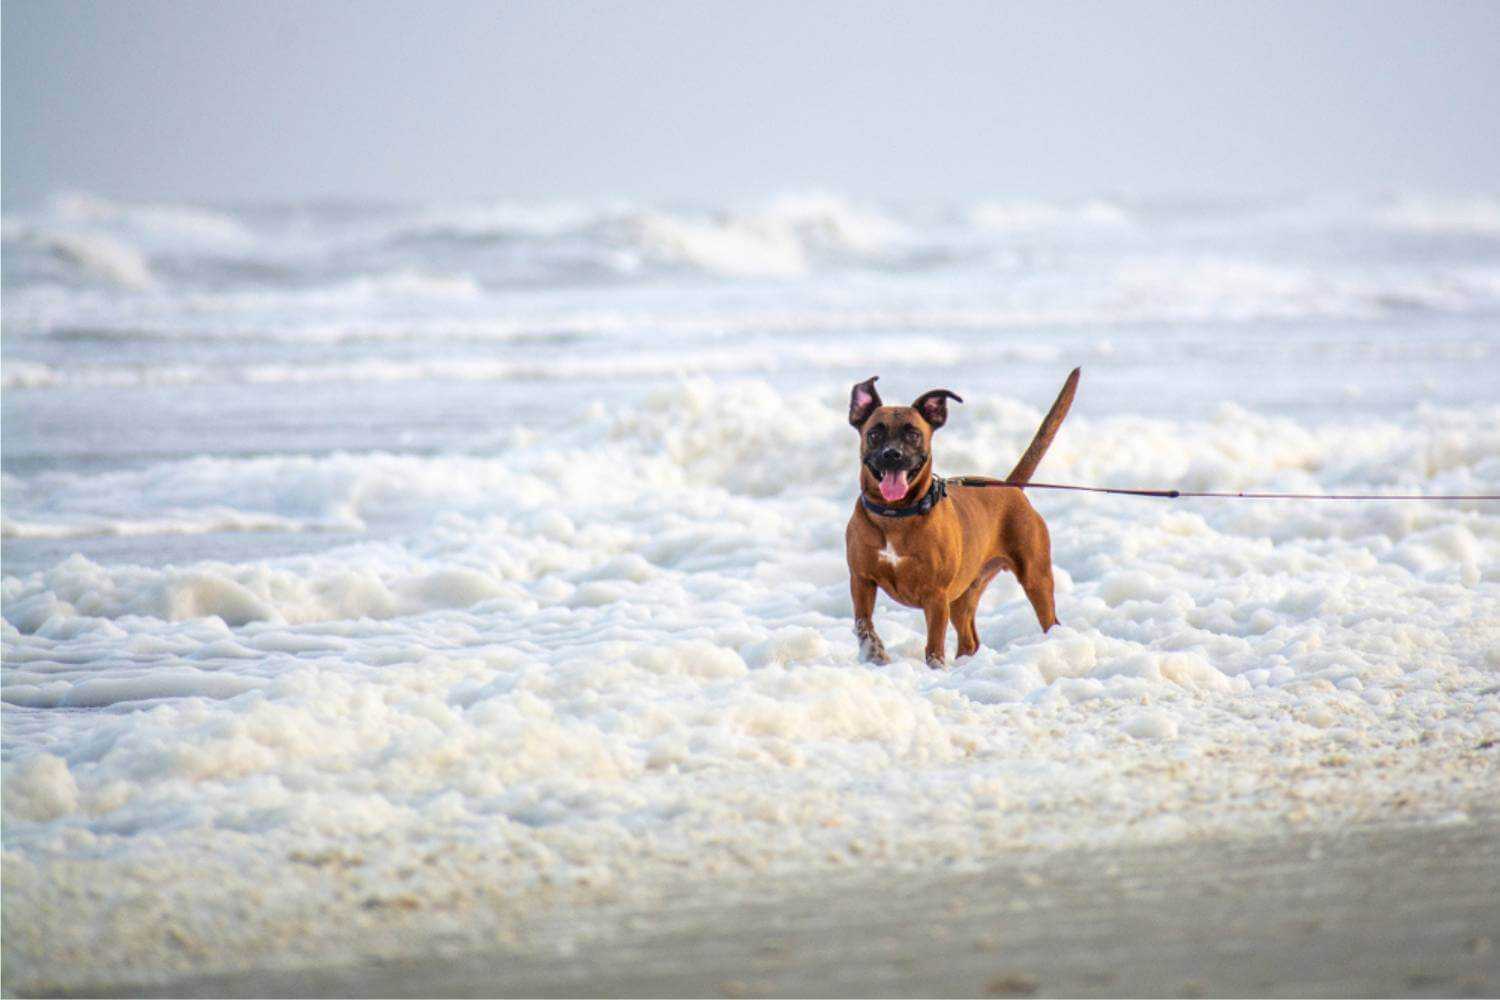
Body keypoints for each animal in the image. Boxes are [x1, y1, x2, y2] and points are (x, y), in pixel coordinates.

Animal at [846, 367, 1080, 665]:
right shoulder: (861, 580)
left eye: (913, 434)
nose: (892, 455)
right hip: (964, 595)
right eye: (875, 433)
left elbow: (934, 645)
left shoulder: (936, 596)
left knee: (1050, 619)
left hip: (1035, 577)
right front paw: (874, 653)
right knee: (970, 641)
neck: (895, 515)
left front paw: (934, 668)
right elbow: (863, 624)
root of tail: (1011, 487)